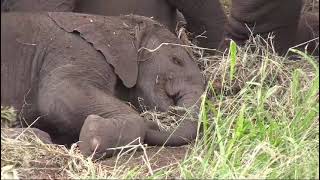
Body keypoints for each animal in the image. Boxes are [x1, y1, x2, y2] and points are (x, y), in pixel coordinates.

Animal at [0, 11, 205, 158]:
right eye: (176, 60)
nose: (154, 123)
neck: (119, 24)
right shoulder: (75, 50)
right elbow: (57, 95)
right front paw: (91, 138)